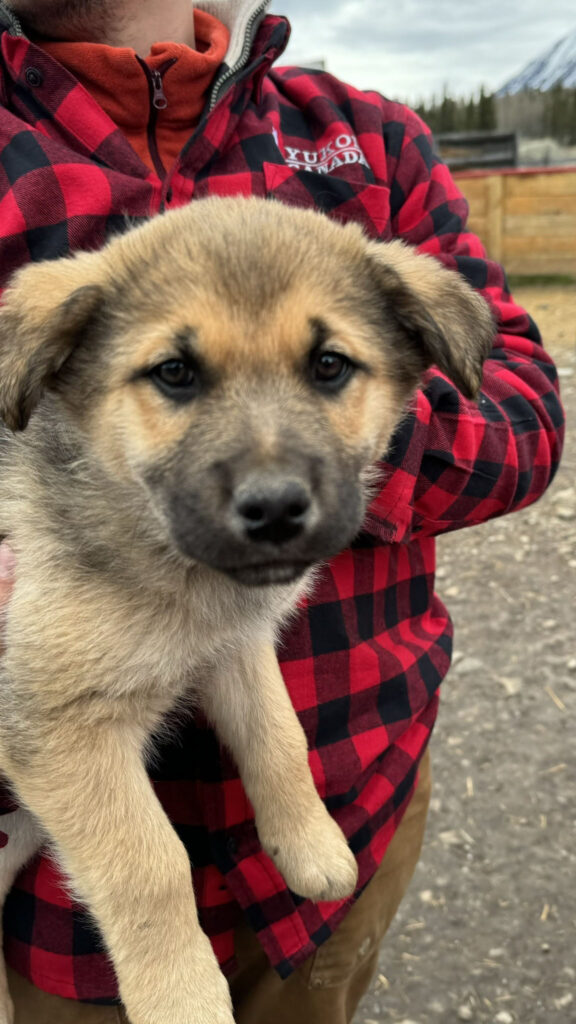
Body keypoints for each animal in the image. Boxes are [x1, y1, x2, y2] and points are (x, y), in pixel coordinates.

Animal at [0, 193, 494, 1024]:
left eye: (329, 365)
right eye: (174, 373)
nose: (274, 509)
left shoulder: (235, 648)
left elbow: (280, 739)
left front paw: (313, 847)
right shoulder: (61, 729)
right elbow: (149, 866)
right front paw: (183, 997)